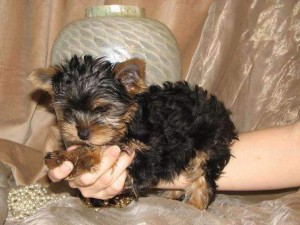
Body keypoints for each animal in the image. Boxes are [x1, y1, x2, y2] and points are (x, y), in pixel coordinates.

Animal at [29, 55, 238, 210]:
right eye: (68, 111)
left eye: (102, 109)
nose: (82, 134)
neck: (128, 124)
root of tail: (220, 110)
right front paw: (66, 156)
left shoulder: (149, 153)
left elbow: (109, 148)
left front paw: (87, 156)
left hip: (210, 143)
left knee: (202, 175)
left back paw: (194, 204)